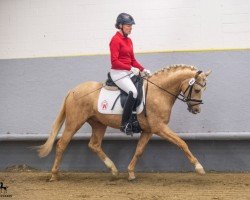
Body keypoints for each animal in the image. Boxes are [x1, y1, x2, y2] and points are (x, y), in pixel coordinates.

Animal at [37, 64, 211, 181]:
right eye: (197, 89)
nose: (196, 110)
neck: (159, 92)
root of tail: (72, 90)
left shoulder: (149, 130)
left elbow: (139, 150)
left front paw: (131, 172)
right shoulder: (159, 127)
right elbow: (182, 143)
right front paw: (199, 167)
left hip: (99, 124)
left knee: (94, 145)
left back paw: (114, 170)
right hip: (74, 123)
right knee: (62, 145)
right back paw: (54, 175)